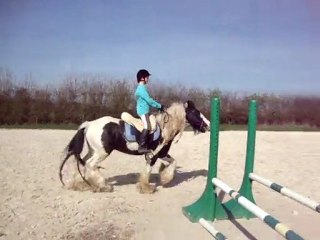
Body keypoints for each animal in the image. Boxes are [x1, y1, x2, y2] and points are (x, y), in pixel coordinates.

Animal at [59, 99, 210, 193]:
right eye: (196, 113)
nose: (208, 125)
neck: (164, 128)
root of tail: (90, 124)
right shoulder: (153, 155)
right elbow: (148, 170)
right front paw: (146, 188)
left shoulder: (162, 154)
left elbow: (174, 162)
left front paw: (165, 178)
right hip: (102, 152)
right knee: (90, 164)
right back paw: (103, 185)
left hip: (93, 151)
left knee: (82, 162)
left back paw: (81, 184)